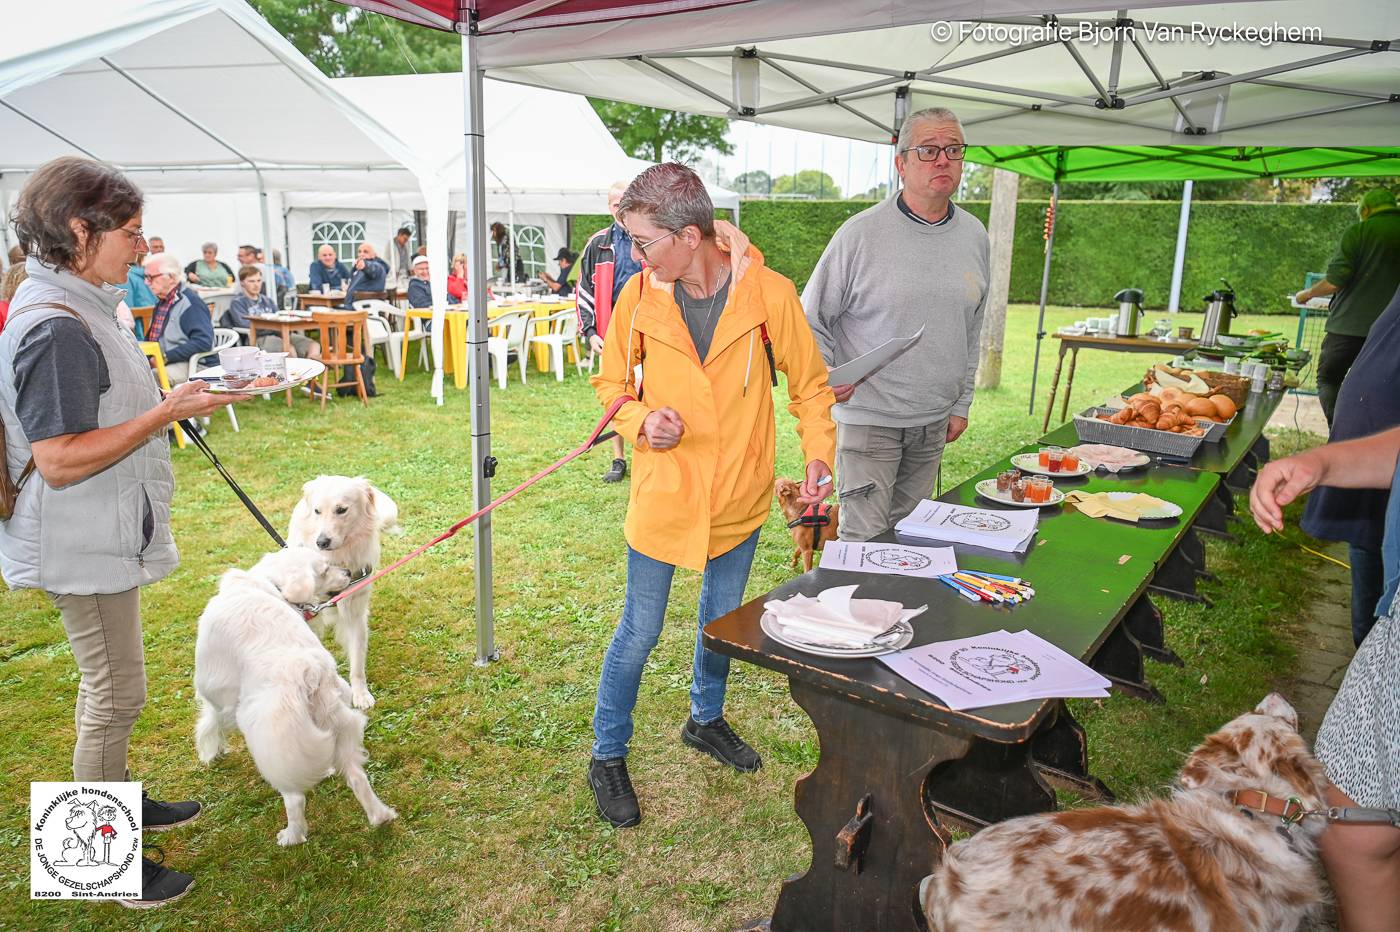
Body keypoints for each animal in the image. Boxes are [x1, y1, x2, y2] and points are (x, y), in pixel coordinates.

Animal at [191, 545, 400, 839]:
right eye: (325, 568)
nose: (349, 573)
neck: (268, 583)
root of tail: (308, 672)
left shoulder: (216, 688)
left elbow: (211, 720)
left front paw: (211, 751)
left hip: (273, 743)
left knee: (294, 798)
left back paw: (292, 836)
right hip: (336, 719)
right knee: (358, 777)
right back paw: (380, 816)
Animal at [287, 475, 400, 708]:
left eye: (341, 510)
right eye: (317, 511)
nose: (321, 542)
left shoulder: (355, 613)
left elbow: (357, 662)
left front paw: (360, 694)